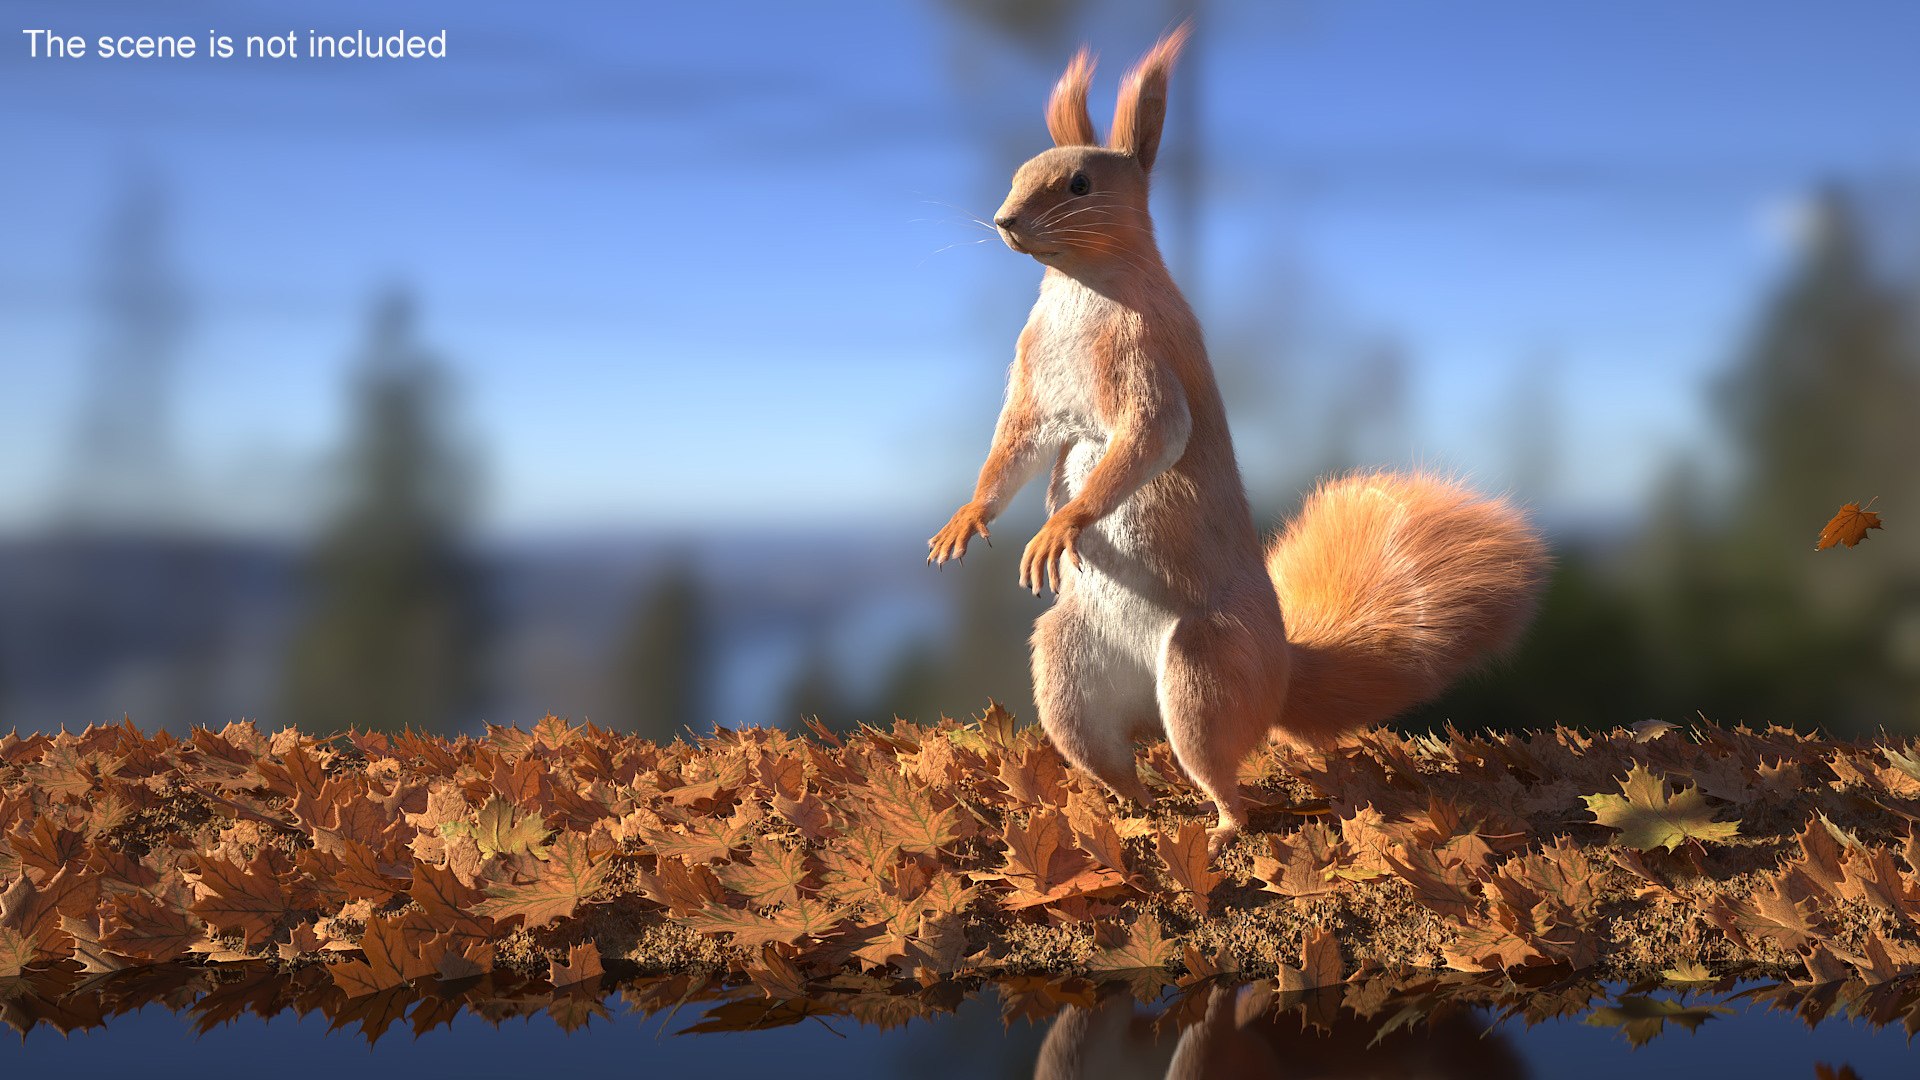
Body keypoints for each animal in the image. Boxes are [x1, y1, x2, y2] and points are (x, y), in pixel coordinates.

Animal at [927, 24, 1548, 850]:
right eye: (1021, 171)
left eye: (1080, 185)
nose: (1002, 220)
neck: (1077, 287)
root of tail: (1278, 672)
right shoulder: (1032, 389)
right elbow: (1013, 452)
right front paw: (966, 519)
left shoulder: (1146, 360)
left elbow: (1150, 438)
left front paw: (1065, 523)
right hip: (1068, 672)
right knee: (1116, 755)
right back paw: (1128, 808)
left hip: (1205, 670)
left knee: (1220, 769)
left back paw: (1222, 826)